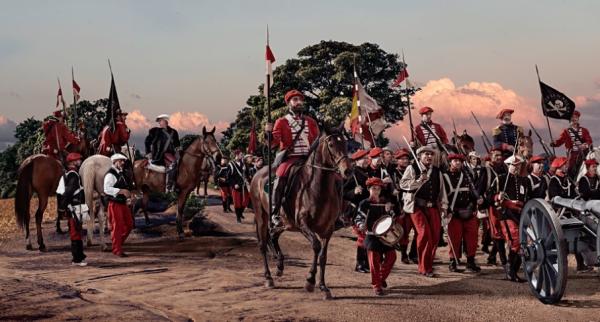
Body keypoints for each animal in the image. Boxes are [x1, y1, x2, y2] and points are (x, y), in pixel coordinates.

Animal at [248, 125, 352, 300]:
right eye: (331, 144)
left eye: (344, 143)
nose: (347, 171)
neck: (318, 188)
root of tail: (258, 174)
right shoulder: (303, 224)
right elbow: (316, 246)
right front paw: (310, 280)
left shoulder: (328, 229)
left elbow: (323, 256)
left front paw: (323, 287)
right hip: (261, 216)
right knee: (262, 244)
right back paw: (268, 277)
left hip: (285, 223)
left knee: (273, 235)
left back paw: (280, 265)